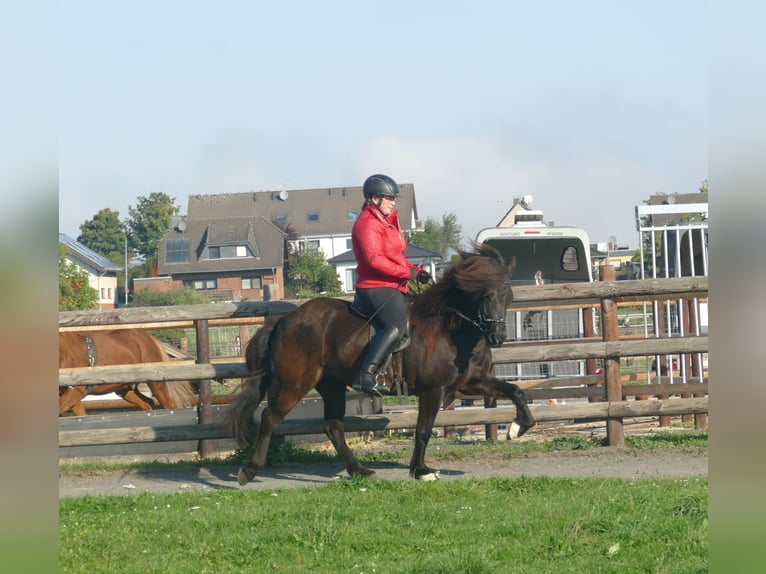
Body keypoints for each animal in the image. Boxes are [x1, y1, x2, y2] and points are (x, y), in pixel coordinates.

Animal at [59, 329, 198, 416]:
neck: (65, 354)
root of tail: (150, 338)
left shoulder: (77, 390)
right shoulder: (70, 394)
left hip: (156, 383)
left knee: (169, 405)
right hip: (125, 389)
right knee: (148, 403)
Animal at [227, 242, 536, 484]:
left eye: (509, 297)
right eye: (486, 295)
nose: (498, 337)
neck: (452, 328)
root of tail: (284, 321)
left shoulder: (471, 383)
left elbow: (515, 391)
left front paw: (519, 427)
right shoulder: (432, 390)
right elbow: (423, 430)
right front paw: (420, 470)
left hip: (331, 385)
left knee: (333, 426)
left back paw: (359, 470)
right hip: (295, 383)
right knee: (270, 417)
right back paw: (249, 470)